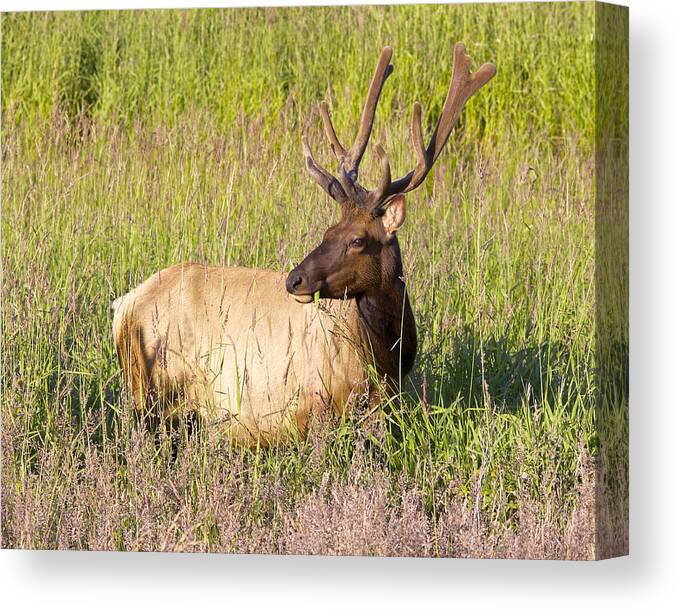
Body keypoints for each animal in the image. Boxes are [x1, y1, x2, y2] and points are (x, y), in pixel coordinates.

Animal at [113, 41, 500, 442]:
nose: (294, 278)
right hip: (152, 392)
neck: (387, 359)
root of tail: (123, 307)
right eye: (329, 232)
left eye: (357, 239)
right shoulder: (316, 408)